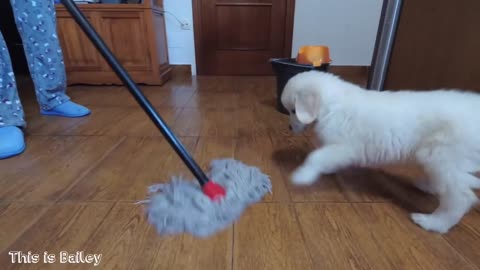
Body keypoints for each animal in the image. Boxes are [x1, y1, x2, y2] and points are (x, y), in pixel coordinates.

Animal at [282, 70, 480, 233]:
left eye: (293, 110)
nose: (290, 128)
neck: (332, 104)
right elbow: (325, 158)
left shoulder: (345, 147)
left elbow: (316, 157)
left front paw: (302, 175)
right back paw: (427, 185)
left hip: (441, 156)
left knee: (461, 197)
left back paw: (434, 223)